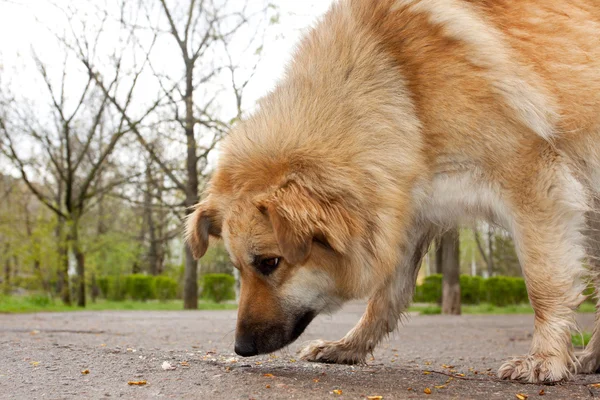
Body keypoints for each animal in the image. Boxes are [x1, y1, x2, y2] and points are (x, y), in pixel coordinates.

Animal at [185, 0, 600, 382]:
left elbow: (544, 283)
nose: (241, 348)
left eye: (270, 262)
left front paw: (545, 359)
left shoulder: (534, 182)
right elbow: (384, 298)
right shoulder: (406, 216)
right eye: (238, 268)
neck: (402, 87)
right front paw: (348, 347)